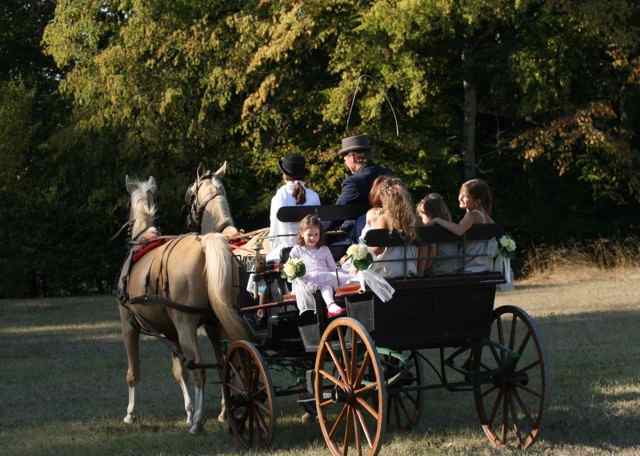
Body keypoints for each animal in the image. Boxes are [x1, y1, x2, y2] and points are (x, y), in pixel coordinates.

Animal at [120, 175, 250, 434]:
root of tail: (204, 244)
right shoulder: (171, 332)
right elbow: (179, 372)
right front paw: (189, 411)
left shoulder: (128, 324)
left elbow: (133, 372)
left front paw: (130, 414)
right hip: (215, 323)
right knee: (224, 364)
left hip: (186, 324)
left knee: (200, 369)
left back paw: (199, 423)